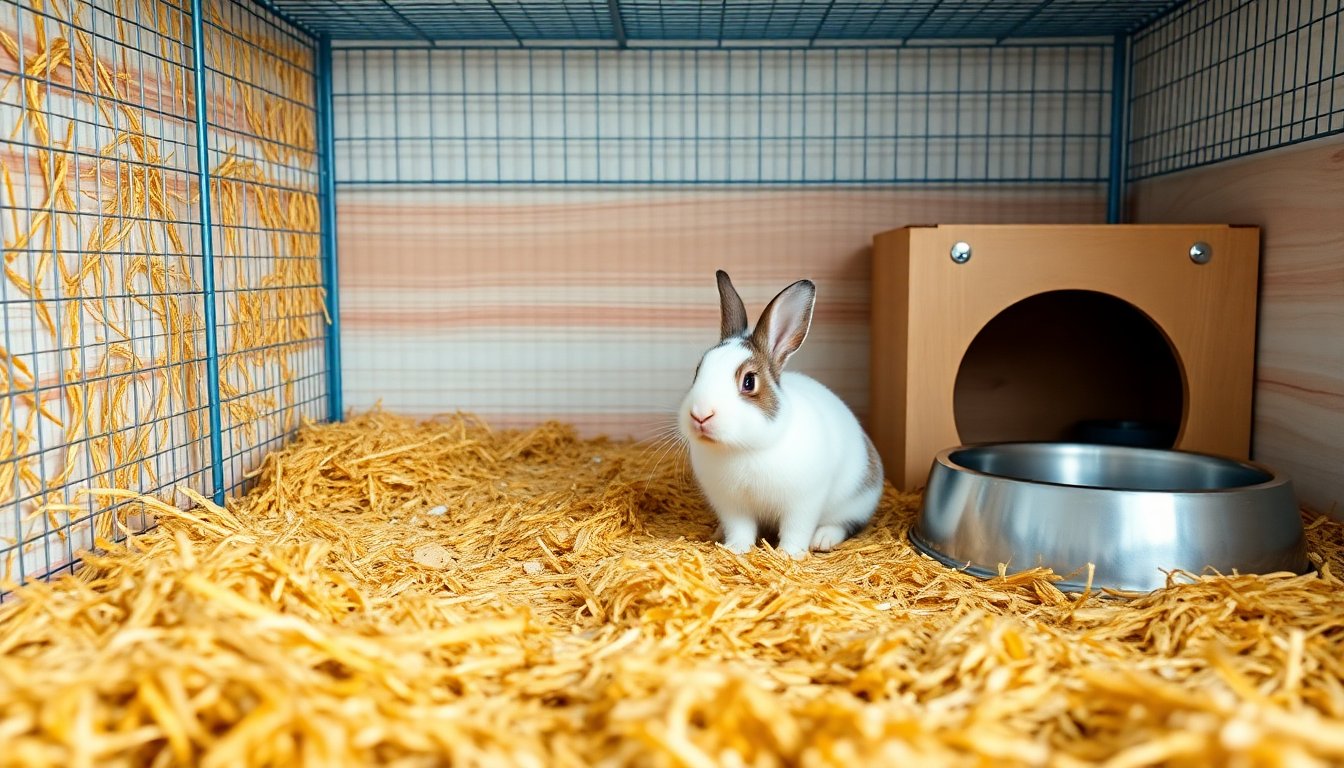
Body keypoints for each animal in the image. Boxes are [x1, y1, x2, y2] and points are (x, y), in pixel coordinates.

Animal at [677, 270, 884, 558]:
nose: (700, 415)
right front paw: (735, 548)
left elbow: (796, 529)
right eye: (698, 371)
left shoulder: (803, 502)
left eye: (749, 381)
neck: (745, 448)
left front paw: (788, 554)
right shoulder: (732, 506)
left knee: (843, 523)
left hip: (854, 501)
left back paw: (823, 540)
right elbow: (741, 529)